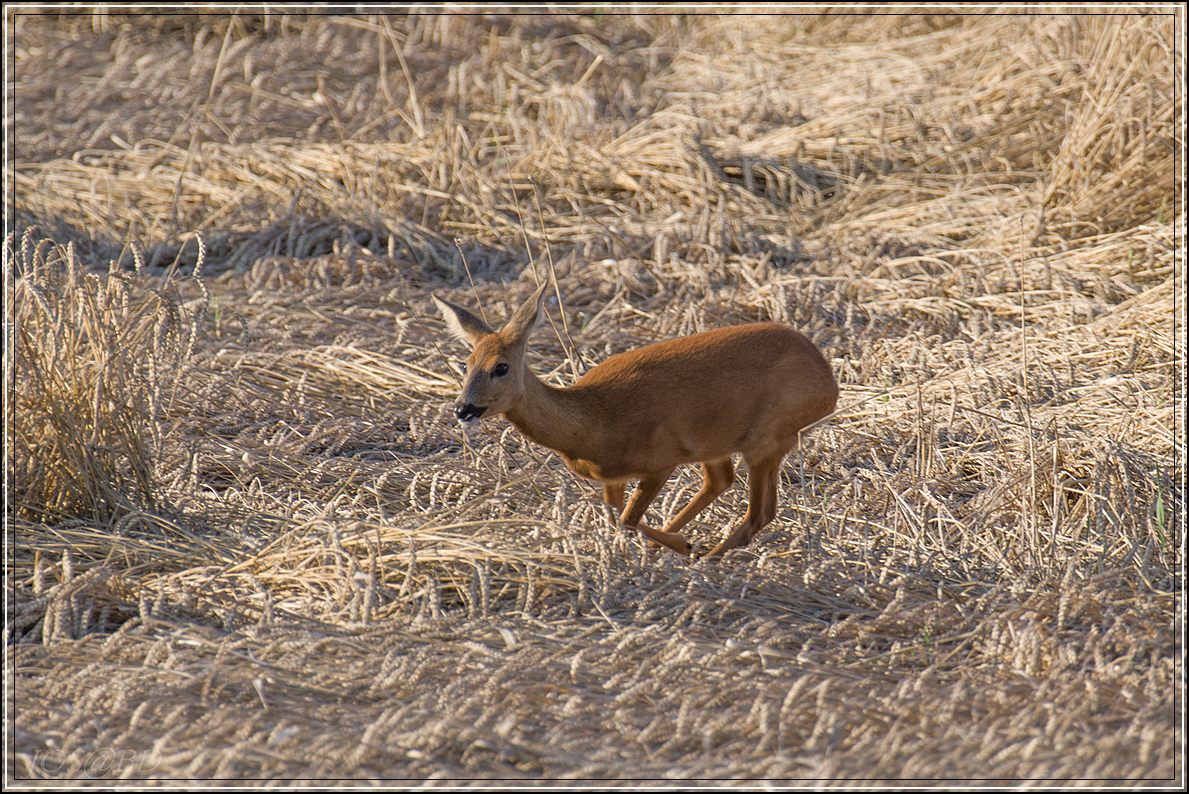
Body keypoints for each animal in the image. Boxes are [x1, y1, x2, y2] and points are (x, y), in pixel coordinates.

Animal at [435, 285, 837, 558]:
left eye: (501, 367)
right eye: (466, 363)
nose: (463, 409)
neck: (591, 425)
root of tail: (829, 384)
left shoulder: (661, 461)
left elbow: (626, 520)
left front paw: (682, 543)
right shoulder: (612, 478)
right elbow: (616, 518)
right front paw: (674, 542)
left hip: (768, 436)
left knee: (760, 513)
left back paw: (704, 557)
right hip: (719, 443)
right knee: (722, 482)